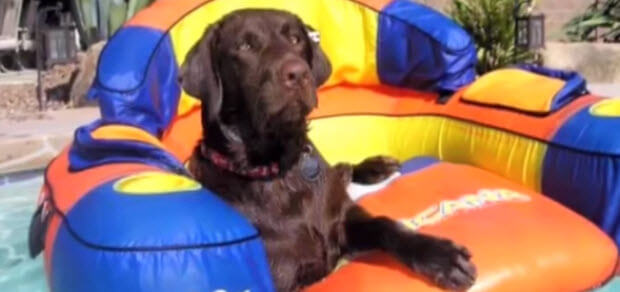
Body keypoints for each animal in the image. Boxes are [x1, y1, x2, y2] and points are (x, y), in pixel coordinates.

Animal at [179, 9, 474, 292]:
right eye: (244, 46)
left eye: (295, 39)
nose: (298, 73)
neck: (281, 170)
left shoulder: (341, 218)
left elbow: (385, 223)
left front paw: (441, 256)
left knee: (339, 171)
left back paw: (376, 166)